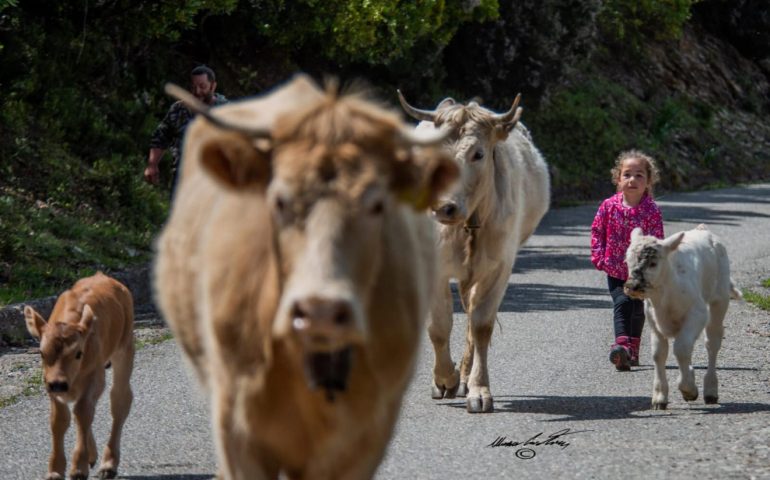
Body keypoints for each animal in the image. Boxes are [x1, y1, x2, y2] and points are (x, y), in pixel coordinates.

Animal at [24, 272, 135, 478]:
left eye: (78, 353)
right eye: (42, 353)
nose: (58, 383)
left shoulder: (95, 377)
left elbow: (83, 412)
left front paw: (78, 468)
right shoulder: (50, 386)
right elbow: (59, 420)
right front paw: (55, 471)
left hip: (125, 350)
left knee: (120, 400)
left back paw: (108, 464)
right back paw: (93, 456)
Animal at [400, 91, 548, 412]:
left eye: (478, 154)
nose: (444, 207)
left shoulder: (498, 267)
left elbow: (480, 325)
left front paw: (478, 389)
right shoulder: (436, 268)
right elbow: (439, 326)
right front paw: (444, 380)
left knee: (471, 316)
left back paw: (467, 375)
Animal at [624, 225, 736, 408]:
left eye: (653, 263)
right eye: (627, 261)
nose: (632, 286)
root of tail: (703, 229)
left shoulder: (698, 313)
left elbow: (681, 348)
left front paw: (688, 389)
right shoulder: (654, 321)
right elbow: (659, 354)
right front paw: (660, 396)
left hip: (720, 300)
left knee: (712, 343)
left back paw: (710, 390)